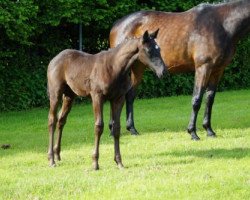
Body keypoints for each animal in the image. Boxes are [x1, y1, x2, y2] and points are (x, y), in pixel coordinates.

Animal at [47, 29, 166, 170]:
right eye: (148, 50)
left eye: (159, 49)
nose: (163, 72)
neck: (114, 67)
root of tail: (54, 59)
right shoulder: (97, 97)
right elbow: (99, 126)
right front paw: (95, 162)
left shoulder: (118, 98)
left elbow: (116, 128)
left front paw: (119, 162)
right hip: (55, 94)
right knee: (52, 120)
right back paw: (51, 159)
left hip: (69, 96)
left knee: (61, 120)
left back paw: (57, 155)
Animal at [109, 0, 250, 141]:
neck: (222, 24)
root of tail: (117, 25)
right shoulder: (203, 67)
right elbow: (196, 99)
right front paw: (193, 132)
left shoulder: (217, 70)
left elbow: (209, 100)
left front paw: (209, 130)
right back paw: (112, 130)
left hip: (138, 67)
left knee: (130, 95)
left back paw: (131, 129)